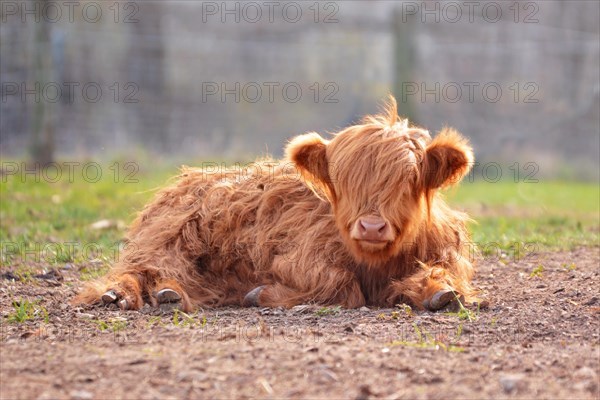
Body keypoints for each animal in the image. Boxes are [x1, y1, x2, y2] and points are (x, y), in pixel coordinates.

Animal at [76, 97, 478, 312]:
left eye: (409, 179)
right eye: (342, 181)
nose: (372, 226)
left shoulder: (444, 253)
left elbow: (444, 278)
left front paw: (441, 292)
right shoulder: (299, 257)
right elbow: (341, 285)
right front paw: (263, 294)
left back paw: (169, 293)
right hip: (166, 238)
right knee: (139, 268)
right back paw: (121, 294)